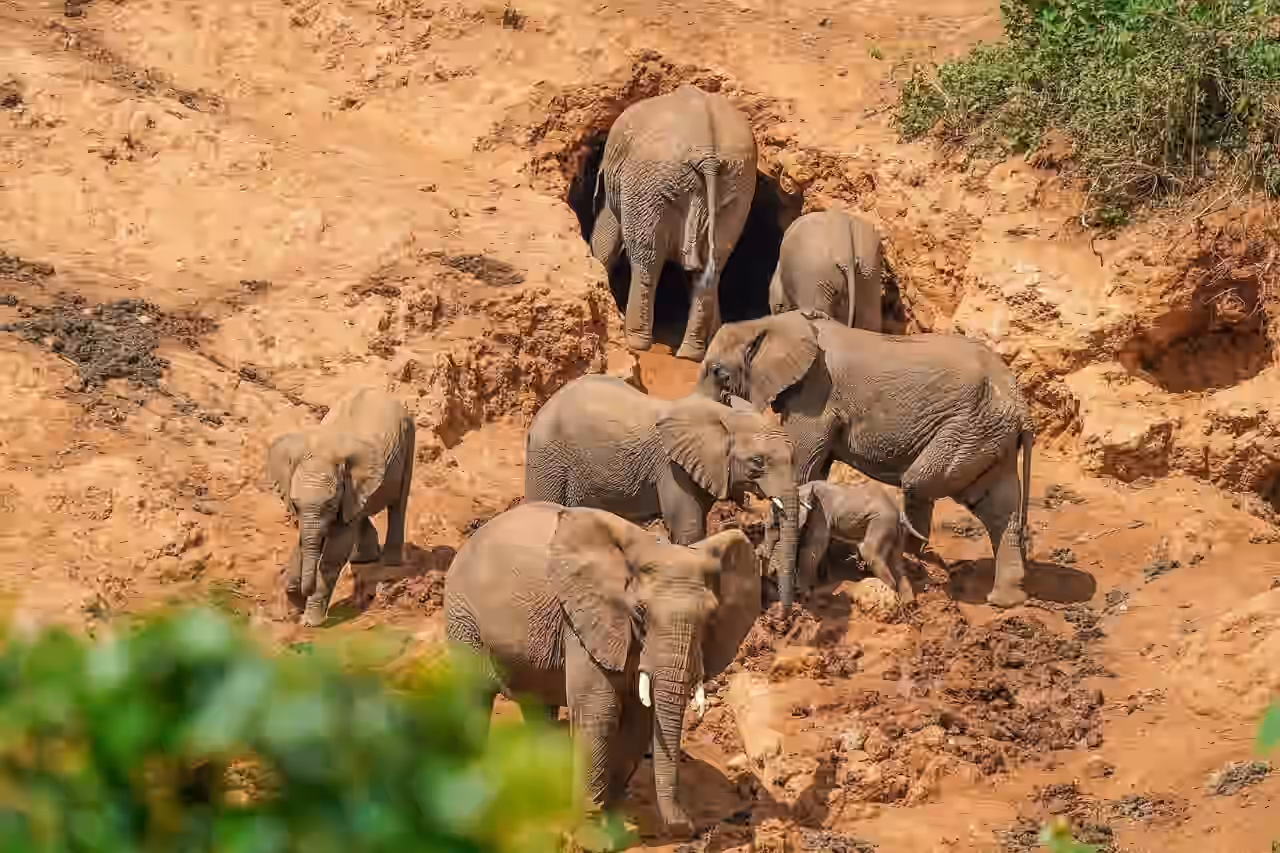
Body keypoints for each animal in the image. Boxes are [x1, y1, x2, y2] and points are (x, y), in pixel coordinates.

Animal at [266, 386, 415, 627]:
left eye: (329, 504)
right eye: (295, 505)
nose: (301, 594)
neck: (322, 451)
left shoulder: (345, 492)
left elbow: (335, 550)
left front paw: (310, 622)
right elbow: (305, 540)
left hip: (409, 435)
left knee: (397, 504)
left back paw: (389, 562)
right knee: (360, 513)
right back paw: (363, 559)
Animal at [444, 501, 759, 833]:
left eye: (711, 617)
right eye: (640, 613)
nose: (685, 827)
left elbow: (638, 720)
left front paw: (614, 822)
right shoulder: (583, 619)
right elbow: (599, 711)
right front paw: (592, 834)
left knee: (537, 705)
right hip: (462, 615)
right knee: (475, 695)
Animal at [524, 373, 800, 606]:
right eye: (757, 462)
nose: (782, 611)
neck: (724, 417)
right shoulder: (670, 467)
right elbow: (688, 526)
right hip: (548, 459)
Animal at [589, 85, 758, 361]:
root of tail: (708, 153)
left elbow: (608, 228)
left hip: (650, 179)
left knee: (646, 258)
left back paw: (636, 341)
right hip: (738, 185)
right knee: (714, 264)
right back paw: (691, 353)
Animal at [763, 480, 921, 603]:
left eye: (774, 526)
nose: (769, 574)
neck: (802, 489)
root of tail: (900, 512)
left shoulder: (820, 515)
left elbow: (812, 548)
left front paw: (803, 594)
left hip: (882, 523)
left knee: (870, 553)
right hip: (895, 530)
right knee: (897, 563)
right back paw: (907, 605)